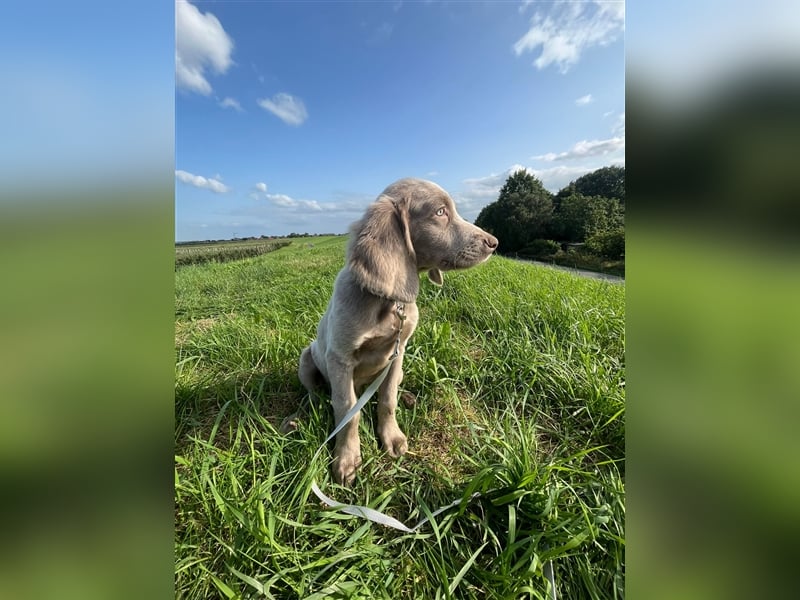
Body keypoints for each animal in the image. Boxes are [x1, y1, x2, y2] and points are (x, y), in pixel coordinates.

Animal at [294, 177, 496, 482]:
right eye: (440, 212)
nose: (494, 243)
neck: (387, 303)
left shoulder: (398, 352)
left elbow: (388, 399)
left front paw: (391, 437)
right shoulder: (339, 359)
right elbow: (347, 408)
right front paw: (347, 458)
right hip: (307, 358)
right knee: (317, 392)